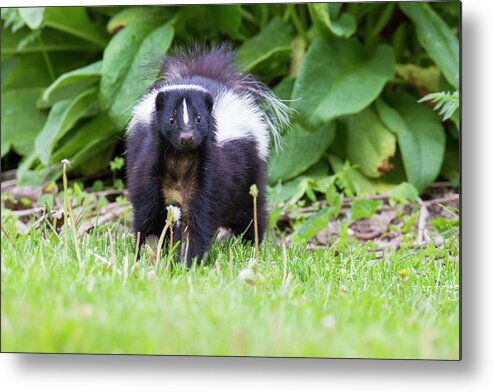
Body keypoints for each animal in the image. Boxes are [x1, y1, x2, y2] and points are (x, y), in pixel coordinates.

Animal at [125, 46, 290, 266]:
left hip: (251, 169)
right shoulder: (148, 173)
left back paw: (250, 245)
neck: (181, 160)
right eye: (171, 120)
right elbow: (147, 217)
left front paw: (188, 261)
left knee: (252, 212)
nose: (187, 137)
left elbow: (197, 224)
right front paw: (145, 254)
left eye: (198, 118)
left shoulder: (208, 181)